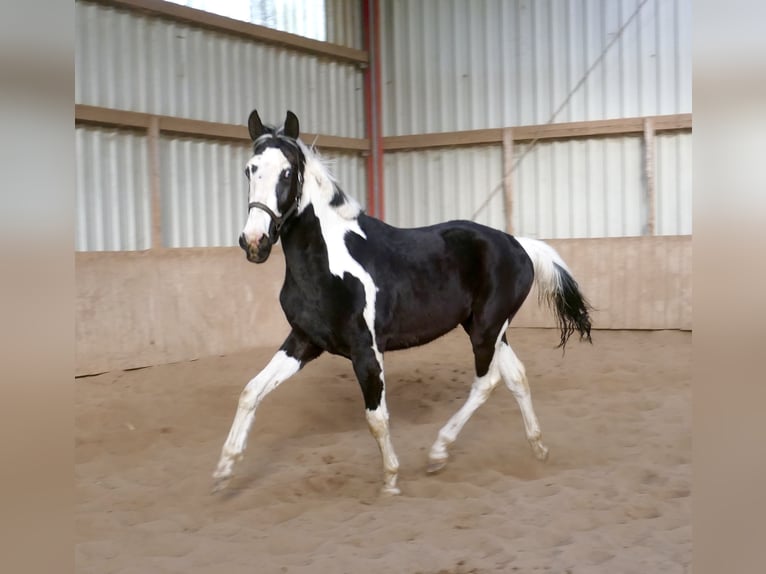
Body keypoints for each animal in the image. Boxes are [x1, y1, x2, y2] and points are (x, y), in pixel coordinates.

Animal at [213, 110, 592, 495]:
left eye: (288, 172)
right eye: (250, 169)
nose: (254, 242)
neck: (327, 262)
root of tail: (518, 244)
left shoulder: (365, 348)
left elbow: (376, 418)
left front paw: (391, 480)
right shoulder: (304, 341)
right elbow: (251, 391)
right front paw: (223, 471)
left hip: (486, 330)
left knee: (487, 381)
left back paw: (439, 452)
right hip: (487, 329)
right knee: (516, 376)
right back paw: (538, 448)